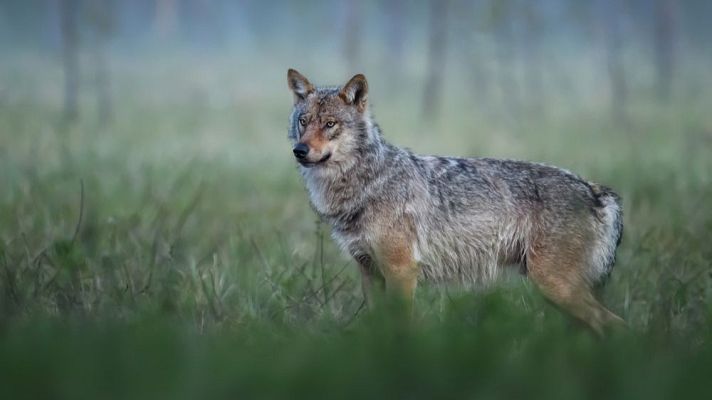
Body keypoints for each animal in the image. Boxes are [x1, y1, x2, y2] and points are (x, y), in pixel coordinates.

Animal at [286, 69, 625, 334]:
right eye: (304, 121)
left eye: (330, 124)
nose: (300, 151)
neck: (367, 182)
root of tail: (596, 191)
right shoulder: (369, 272)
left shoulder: (401, 271)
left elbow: (401, 327)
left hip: (556, 287)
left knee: (617, 325)